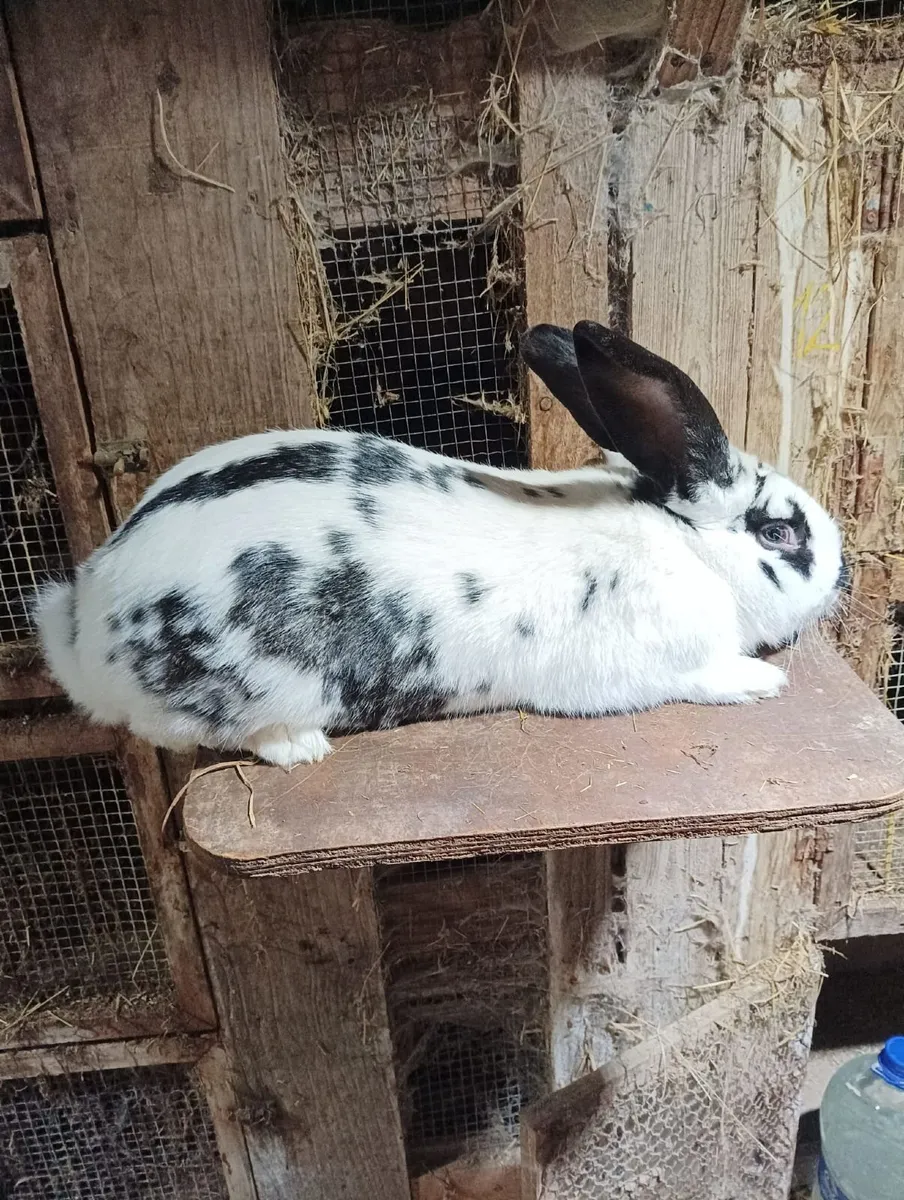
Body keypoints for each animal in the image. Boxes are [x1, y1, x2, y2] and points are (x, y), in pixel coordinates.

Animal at [34, 320, 846, 770]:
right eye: (779, 532)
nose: (844, 578)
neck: (686, 548)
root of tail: (85, 622)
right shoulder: (657, 665)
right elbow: (705, 677)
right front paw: (761, 681)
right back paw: (300, 747)